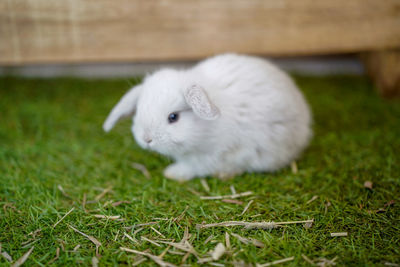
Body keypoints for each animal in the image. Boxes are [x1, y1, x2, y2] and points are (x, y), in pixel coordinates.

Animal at [103, 53, 312, 181]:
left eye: (173, 117)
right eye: (139, 110)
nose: (146, 139)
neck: (205, 132)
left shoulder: (213, 156)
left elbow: (194, 167)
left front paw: (173, 173)